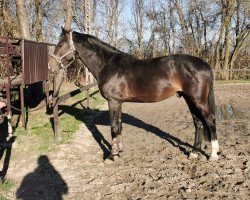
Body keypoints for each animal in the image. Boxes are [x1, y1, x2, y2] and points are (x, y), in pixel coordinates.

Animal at [48, 27, 219, 160]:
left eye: (61, 44)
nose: (50, 66)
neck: (108, 65)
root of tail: (204, 64)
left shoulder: (113, 101)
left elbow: (114, 128)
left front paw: (112, 156)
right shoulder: (118, 102)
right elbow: (119, 127)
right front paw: (119, 151)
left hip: (198, 100)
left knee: (209, 120)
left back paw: (213, 154)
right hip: (189, 99)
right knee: (198, 123)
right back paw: (194, 153)